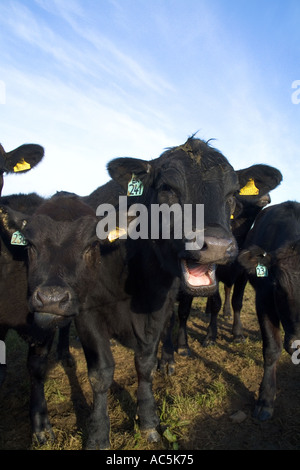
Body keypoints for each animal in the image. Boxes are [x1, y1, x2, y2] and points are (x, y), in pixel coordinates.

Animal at [0, 136, 239, 448]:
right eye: (168, 188)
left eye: (232, 194)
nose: (217, 246)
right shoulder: (87, 315)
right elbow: (101, 374)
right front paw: (98, 434)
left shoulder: (158, 311)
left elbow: (145, 365)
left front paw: (148, 420)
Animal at [173, 165, 282, 356]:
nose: (265, 196)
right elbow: (215, 302)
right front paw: (210, 336)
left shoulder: (243, 274)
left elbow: (237, 301)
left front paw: (237, 334)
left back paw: (227, 313)